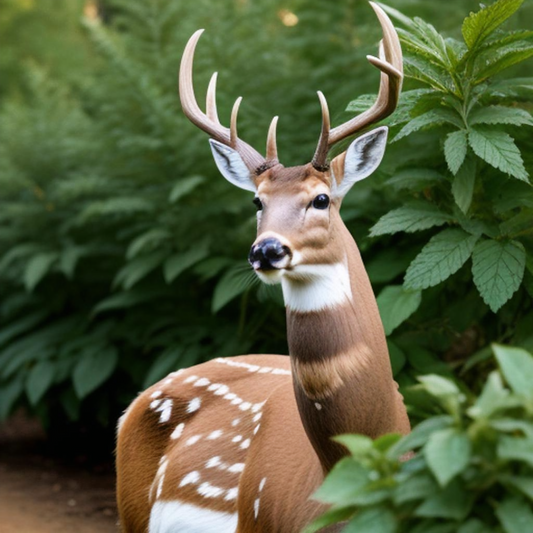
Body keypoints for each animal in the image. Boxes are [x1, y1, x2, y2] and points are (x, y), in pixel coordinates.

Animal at [115, 3, 408, 528]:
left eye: (321, 199)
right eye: (257, 201)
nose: (266, 250)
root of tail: (135, 403)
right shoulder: (257, 519)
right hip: (129, 513)